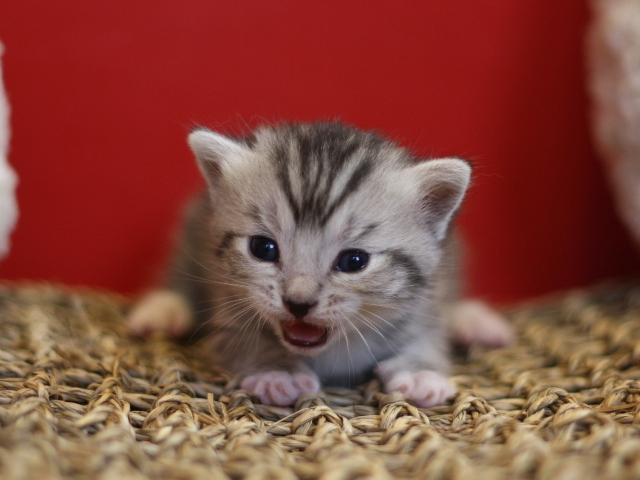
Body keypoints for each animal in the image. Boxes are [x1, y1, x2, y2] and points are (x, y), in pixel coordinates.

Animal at [129, 122, 510, 406]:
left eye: (354, 261)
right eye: (263, 248)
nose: (298, 303)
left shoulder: (425, 300)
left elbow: (428, 335)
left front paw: (419, 371)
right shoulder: (227, 302)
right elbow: (243, 339)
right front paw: (277, 370)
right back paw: (165, 309)